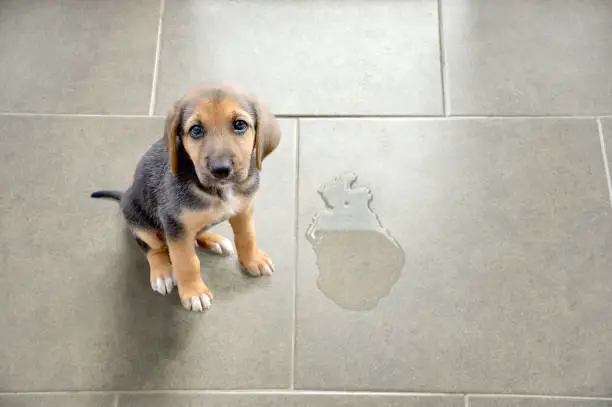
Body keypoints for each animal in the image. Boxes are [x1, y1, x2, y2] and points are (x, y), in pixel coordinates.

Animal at [89, 83, 280, 312]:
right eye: (196, 130)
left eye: (240, 125)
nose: (221, 169)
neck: (220, 190)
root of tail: (125, 194)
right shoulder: (175, 224)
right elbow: (186, 262)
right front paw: (194, 293)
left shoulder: (243, 209)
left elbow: (247, 236)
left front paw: (253, 260)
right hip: (140, 222)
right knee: (153, 248)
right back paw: (162, 272)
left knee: (195, 234)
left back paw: (214, 240)